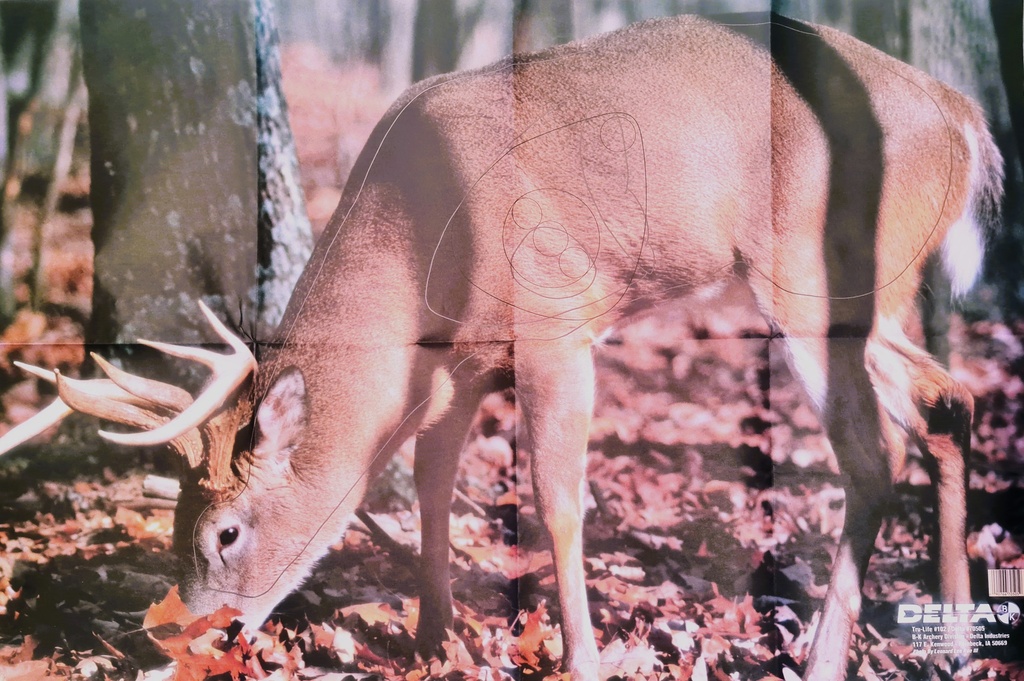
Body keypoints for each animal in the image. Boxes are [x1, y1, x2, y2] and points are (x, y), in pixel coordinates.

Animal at [0, 12, 1003, 681]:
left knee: (873, 449)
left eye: (225, 531)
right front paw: (432, 635)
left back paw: (830, 656)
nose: (176, 635)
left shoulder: (557, 314)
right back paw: (955, 636)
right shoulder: (461, 365)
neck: (419, 245)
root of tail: (963, 117)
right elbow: (434, 483)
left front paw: (585, 658)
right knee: (947, 400)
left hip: (808, 266)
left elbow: (557, 500)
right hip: (872, 289)